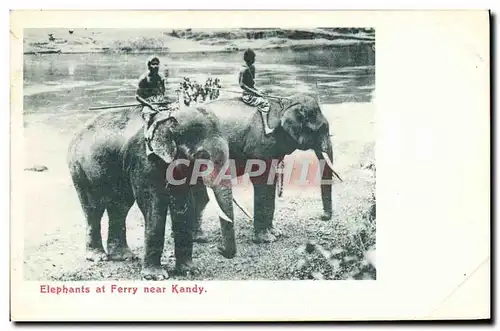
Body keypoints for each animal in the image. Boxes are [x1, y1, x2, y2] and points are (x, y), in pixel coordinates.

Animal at [66, 104, 236, 280]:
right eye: (201, 156)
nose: (220, 249)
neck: (167, 117)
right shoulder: (143, 160)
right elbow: (153, 205)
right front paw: (156, 276)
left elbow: (183, 205)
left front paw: (190, 271)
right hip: (79, 169)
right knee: (93, 208)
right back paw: (98, 256)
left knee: (120, 207)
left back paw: (123, 256)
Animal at [193, 93, 342, 244]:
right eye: (320, 129)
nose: (323, 216)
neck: (285, 104)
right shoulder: (260, 146)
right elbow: (262, 182)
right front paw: (266, 238)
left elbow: (271, 181)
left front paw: (276, 233)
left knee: (200, 193)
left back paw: (199, 238)